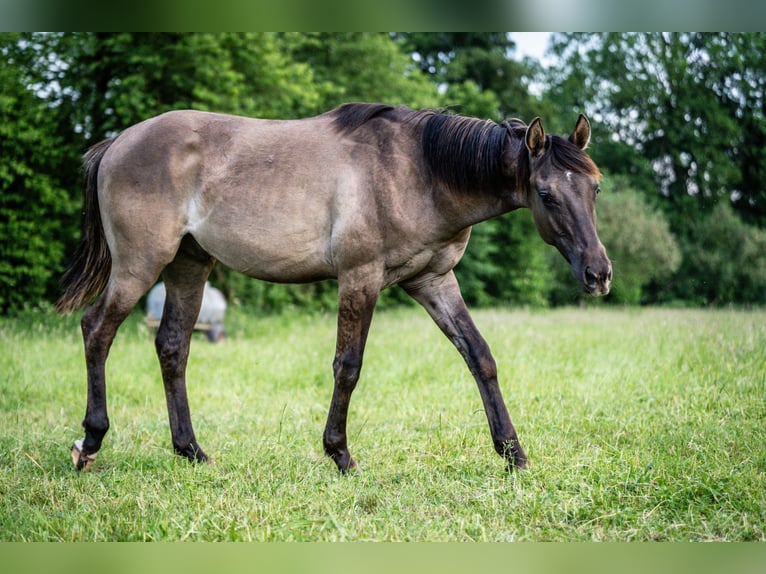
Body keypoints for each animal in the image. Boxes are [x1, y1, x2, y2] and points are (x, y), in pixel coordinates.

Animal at [57, 102, 616, 472]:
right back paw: (91, 441)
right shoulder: (360, 278)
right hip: (139, 266)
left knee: (172, 346)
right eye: (546, 193)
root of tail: (117, 143)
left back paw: (191, 451)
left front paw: (513, 454)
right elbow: (348, 367)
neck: (419, 171)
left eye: (595, 187)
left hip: (189, 267)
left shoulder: (432, 280)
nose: (599, 274)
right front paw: (340, 454)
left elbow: (480, 357)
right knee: (96, 331)